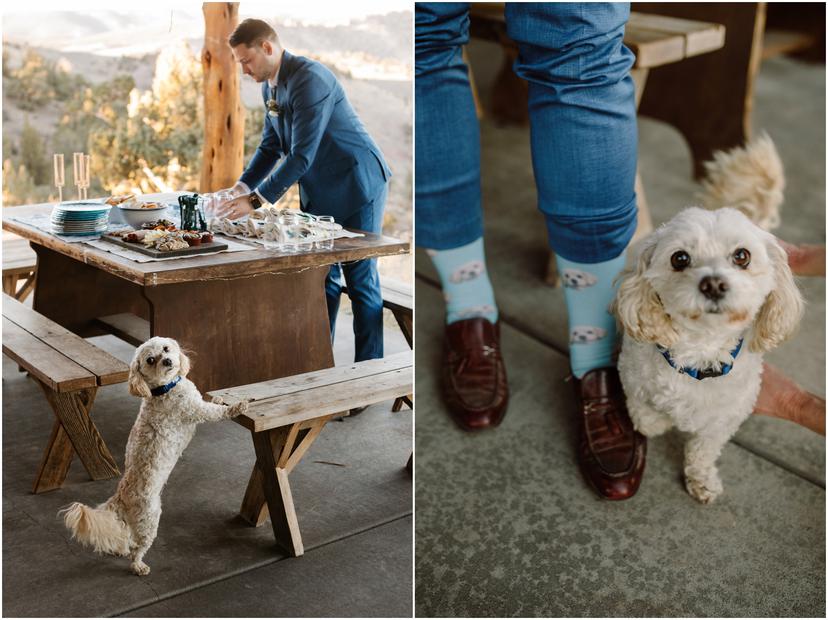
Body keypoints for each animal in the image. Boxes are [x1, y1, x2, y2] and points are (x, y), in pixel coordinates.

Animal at [59, 336, 247, 572]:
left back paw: (120, 549)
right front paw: (237, 407)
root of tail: (120, 497)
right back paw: (138, 565)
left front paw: (220, 399)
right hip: (149, 520)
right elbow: (216, 413)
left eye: (166, 349)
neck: (164, 388)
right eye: (150, 360)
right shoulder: (195, 410)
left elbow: (212, 403)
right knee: (137, 548)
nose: (166, 360)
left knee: (125, 539)